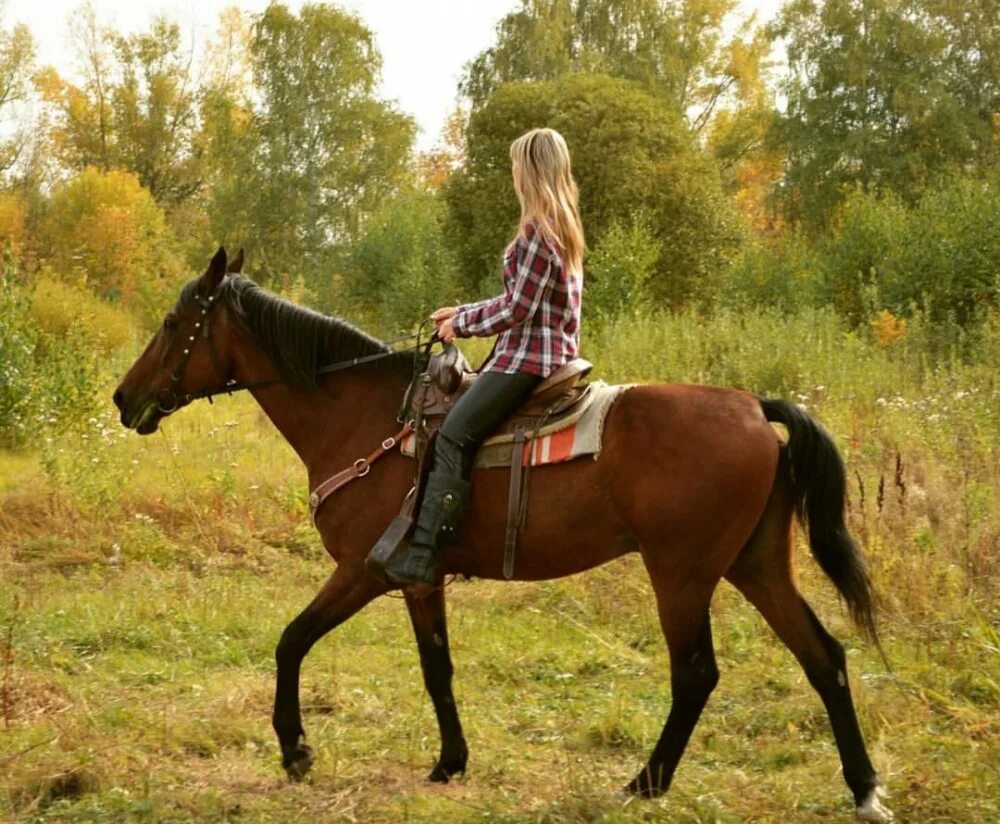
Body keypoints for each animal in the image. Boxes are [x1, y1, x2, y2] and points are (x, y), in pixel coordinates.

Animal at [113, 248, 896, 820]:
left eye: (174, 319)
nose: (124, 399)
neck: (364, 418)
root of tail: (754, 408)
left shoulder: (365, 570)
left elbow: (291, 642)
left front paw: (296, 751)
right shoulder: (419, 579)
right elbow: (437, 668)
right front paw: (450, 761)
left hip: (683, 572)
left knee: (698, 673)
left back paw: (645, 782)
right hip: (755, 564)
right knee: (824, 657)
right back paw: (863, 788)